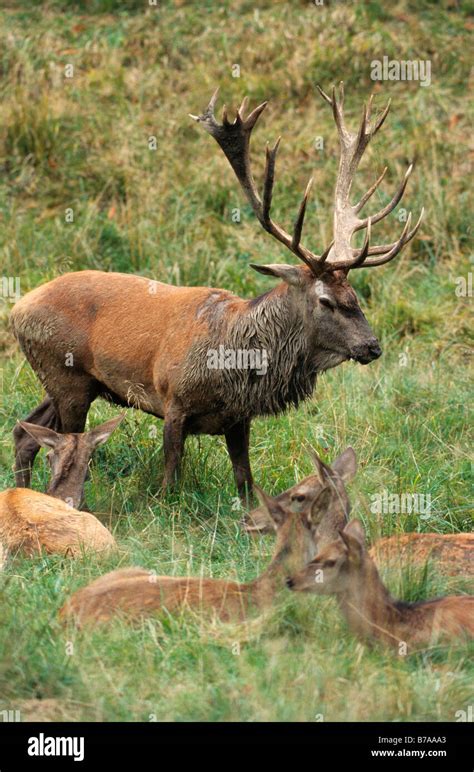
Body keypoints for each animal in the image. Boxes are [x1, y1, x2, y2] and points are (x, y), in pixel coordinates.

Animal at [10, 84, 422, 500]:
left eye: (356, 297)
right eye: (326, 301)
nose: (372, 346)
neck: (234, 361)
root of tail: (16, 309)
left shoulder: (239, 419)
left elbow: (245, 482)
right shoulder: (172, 399)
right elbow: (169, 481)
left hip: (72, 381)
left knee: (24, 432)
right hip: (66, 376)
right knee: (58, 441)